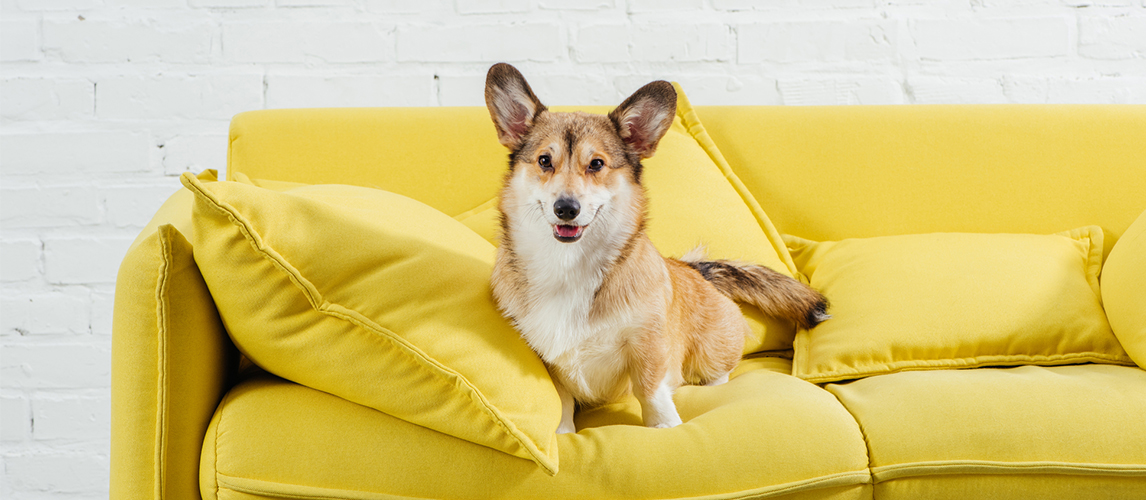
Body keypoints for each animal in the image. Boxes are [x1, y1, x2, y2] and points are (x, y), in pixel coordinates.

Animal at [485, 63, 834, 433]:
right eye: (544, 160)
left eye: (596, 164)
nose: (566, 208)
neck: (568, 265)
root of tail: (693, 269)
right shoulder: (547, 359)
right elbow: (563, 399)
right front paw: (564, 432)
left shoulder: (647, 342)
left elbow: (649, 390)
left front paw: (665, 427)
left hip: (711, 353)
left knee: (717, 374)